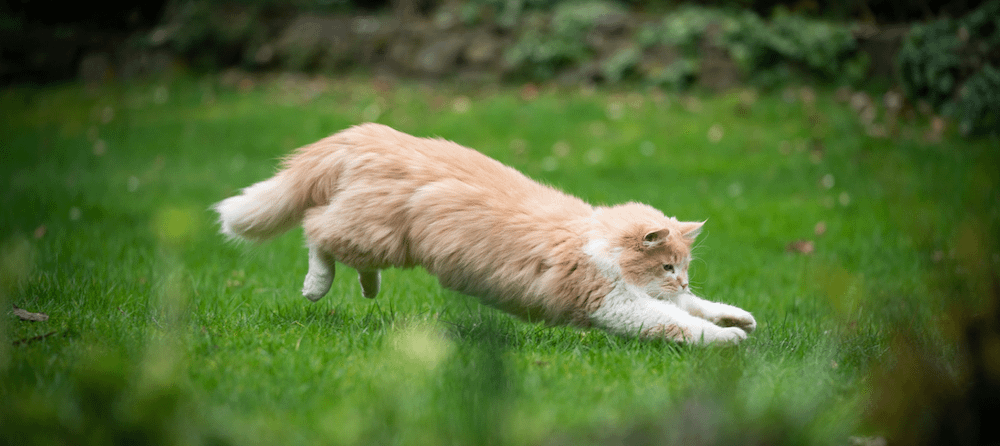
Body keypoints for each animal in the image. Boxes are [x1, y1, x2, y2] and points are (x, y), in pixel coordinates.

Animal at [213, 123, 756, 346]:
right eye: (668, 265)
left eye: (683, 268)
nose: (682, 279)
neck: (595, 239)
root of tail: (371, 134)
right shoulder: (615, 303)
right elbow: (679, 324)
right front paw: (728, 341)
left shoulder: (642, 295)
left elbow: (696, 309)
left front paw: (738, 318)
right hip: (374, 233)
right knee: (315, 231)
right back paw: (316, 287)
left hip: (378, 236)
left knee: (337, 242)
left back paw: (368, 289)